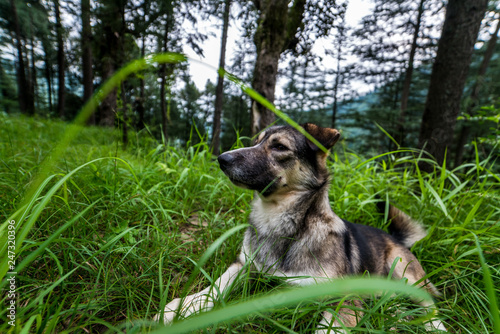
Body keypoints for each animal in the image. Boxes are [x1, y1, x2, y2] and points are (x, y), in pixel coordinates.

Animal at [154, 124, 448, 332]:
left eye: (279, 146)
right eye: (255, 141)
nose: (222, 158)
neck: (277, 222)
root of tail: (394, 236)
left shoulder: (344, 297)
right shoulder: (243, 265)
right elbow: (213, 288)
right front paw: (176, 310)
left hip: (405, 271)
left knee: (430, 304)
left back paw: (434, 326)